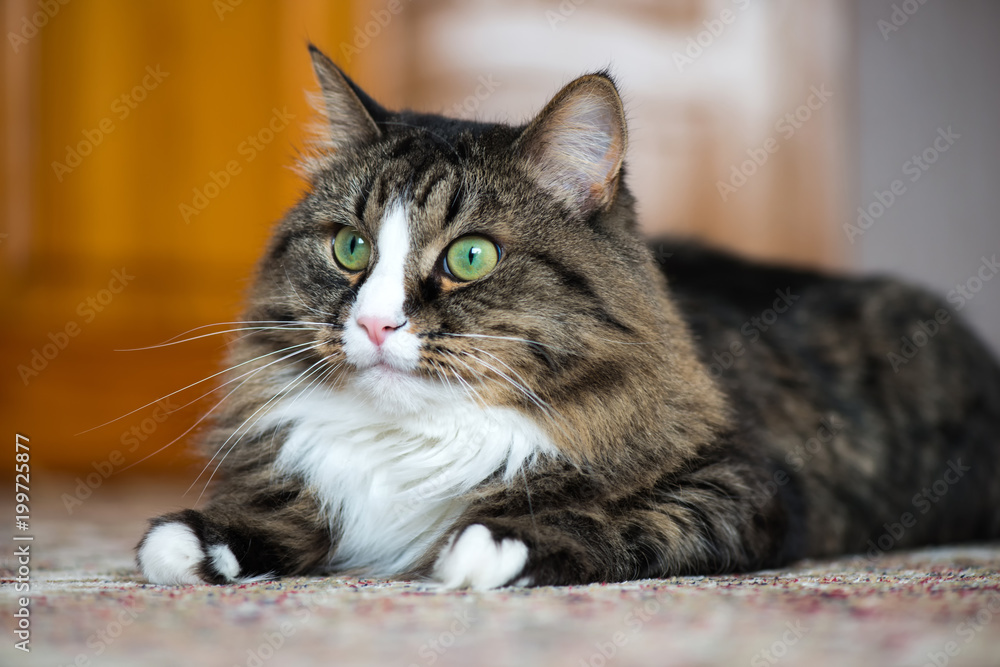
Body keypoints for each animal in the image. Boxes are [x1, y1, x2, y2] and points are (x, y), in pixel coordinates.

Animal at [135, 45, 1000, 588]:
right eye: (351, 248)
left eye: (470, 257)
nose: (377, 324)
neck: (419, 440)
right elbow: (272, 519)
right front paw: (200, 538)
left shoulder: (748, 485)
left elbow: (619, 519)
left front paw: (496, 542)